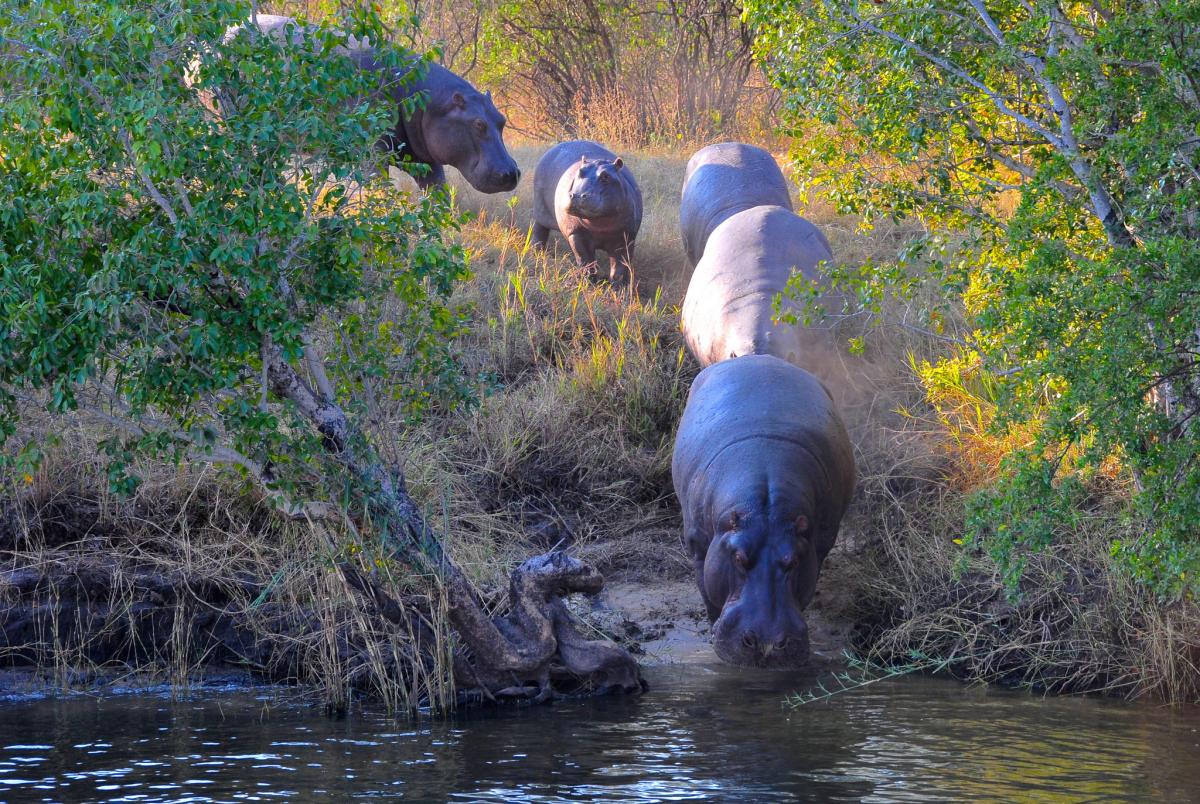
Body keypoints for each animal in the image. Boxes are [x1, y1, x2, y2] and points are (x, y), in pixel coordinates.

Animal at [220, 15, 516, 193]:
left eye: (501, 120)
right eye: (478, 124)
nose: (512, 172)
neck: (422, 96)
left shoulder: (424, 159)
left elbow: (437, 197)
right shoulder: (372, 154)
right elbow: (379, 191)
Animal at [532, 140, 643, 288]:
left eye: (606, 176)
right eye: (579, 172)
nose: (577, 195)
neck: (600, 224)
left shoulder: (626, 237)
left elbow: (620, 266)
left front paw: (618, 288)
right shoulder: (576, 233)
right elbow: (585, 261)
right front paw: (588, 284)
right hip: (540, 212)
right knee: (539, 231)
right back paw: (537, 252)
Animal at [676, 357, 854, 667]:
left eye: (794, 561)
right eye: (737, 557)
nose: (767, 643)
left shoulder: (818, 545)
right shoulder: (699, 546)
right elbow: (707, 594)